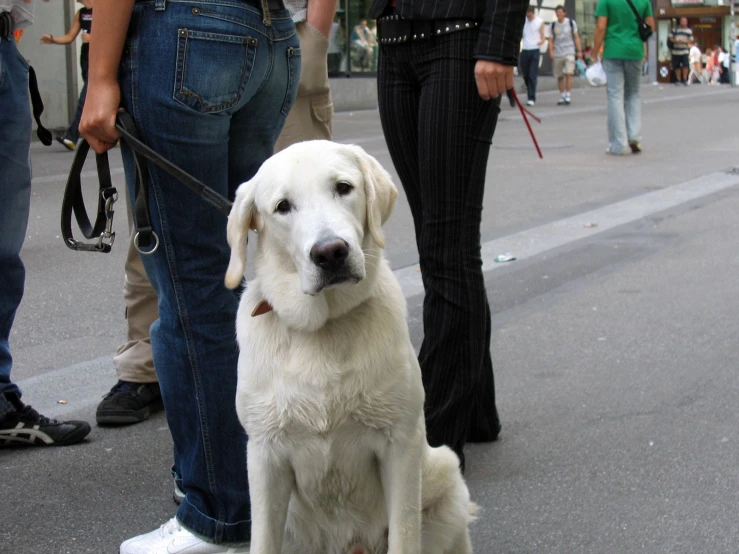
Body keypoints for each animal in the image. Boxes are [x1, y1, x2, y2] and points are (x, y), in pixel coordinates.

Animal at [225, 140, 480, 548]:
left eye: (343, 187)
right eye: (282, 206)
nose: (330, 252)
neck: (323, 328)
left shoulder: (400, 445)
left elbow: (404, 537)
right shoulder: (265, 458)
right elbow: (263, 541)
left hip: (445, 478)